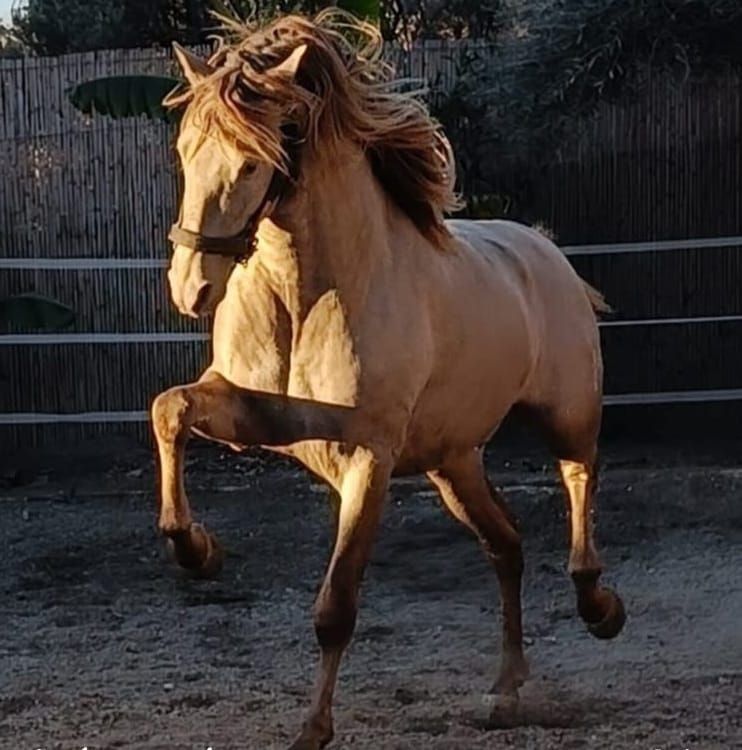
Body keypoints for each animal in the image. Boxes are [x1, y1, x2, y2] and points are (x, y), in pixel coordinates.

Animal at [152, 11, 625, 749]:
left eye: (253, 161)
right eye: (184, 151)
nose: (191, 289)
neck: (312, 292)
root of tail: (545, 250)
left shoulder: (367, 457)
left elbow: (337, 607)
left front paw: (313, 729)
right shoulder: (257, 414)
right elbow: (169, 409)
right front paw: (198, 552)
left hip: (568, 416)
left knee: (579, 489)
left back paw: (600, 608)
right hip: (451, 462)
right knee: (507, 546)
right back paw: (505, 688)